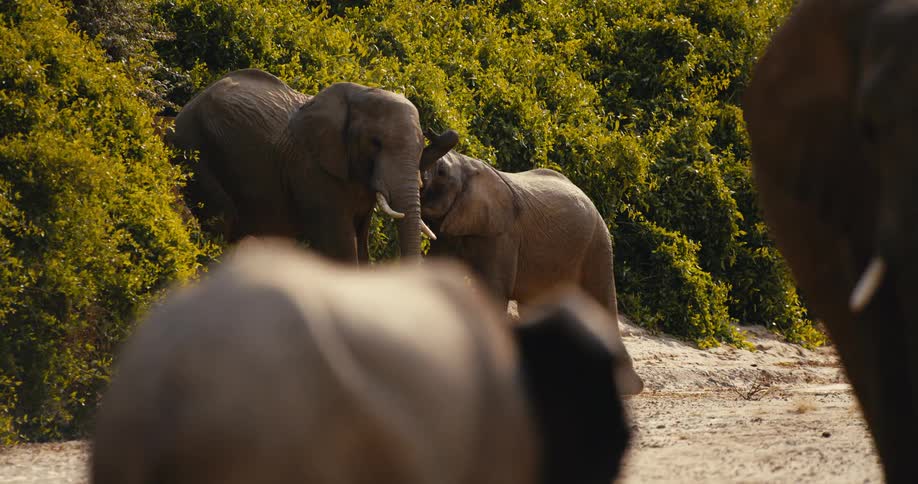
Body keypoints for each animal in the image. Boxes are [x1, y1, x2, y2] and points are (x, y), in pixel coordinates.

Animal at [168, 68, 458, 262]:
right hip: (193, 148)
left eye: (421, 147)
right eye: (375, 143)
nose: (442, 131)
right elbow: (341, 246)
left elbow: (361, 241)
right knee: (221, 221)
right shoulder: (312, 171)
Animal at [420, 151, 643, 395]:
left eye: (441, 172)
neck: (468, 164)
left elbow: (493, 290)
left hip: (597, 243)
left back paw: (628, 385)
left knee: (600, 296)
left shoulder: (503, 234)